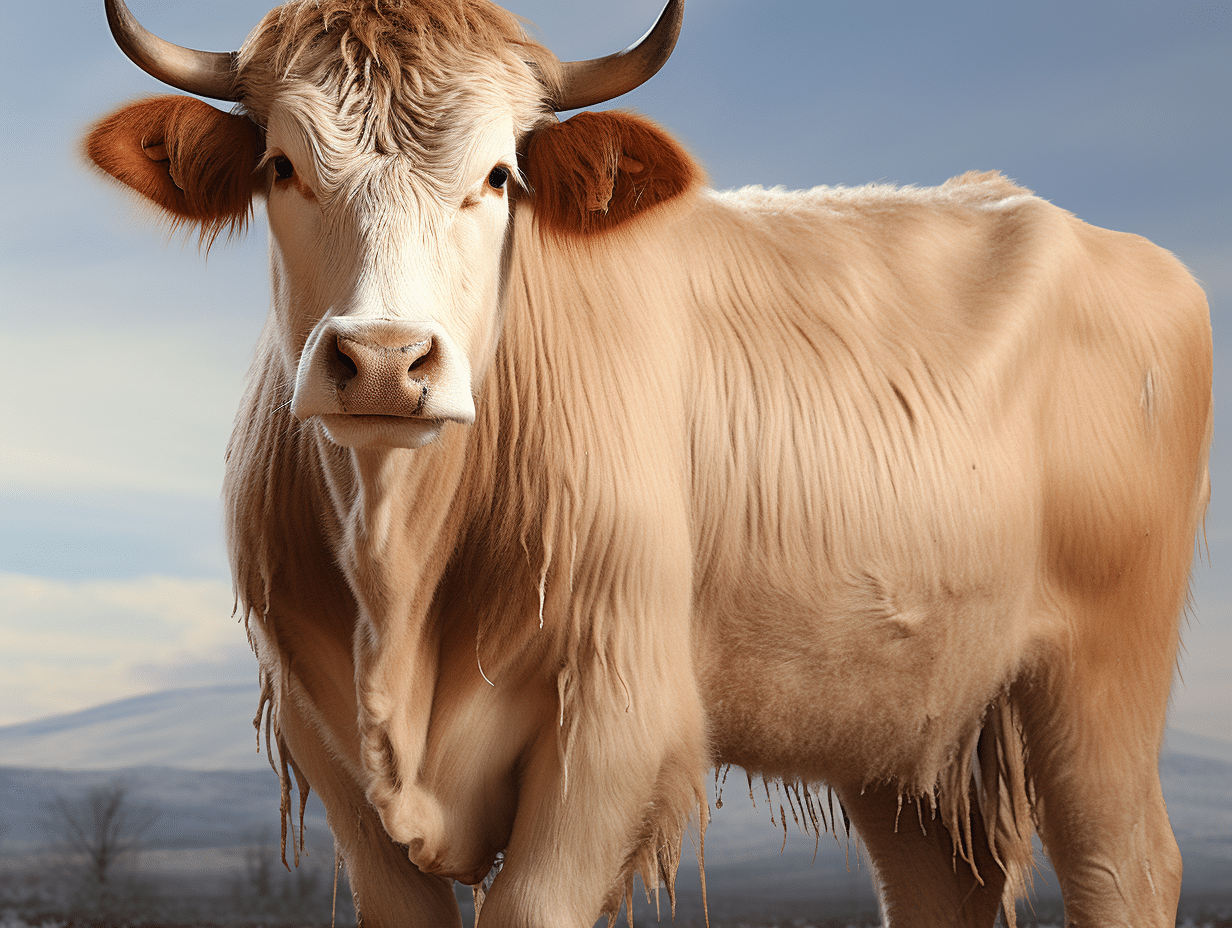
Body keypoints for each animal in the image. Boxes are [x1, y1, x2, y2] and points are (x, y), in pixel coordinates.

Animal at [86, 0, 1212, 925]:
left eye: (498, 177)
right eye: (281, 168)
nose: (384, 361)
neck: (397, 580)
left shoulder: (615, 719)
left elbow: (532, 904)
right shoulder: (323, 733)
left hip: (1099, 671)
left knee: (1123, 864)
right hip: (900, 716)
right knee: (940, 889)